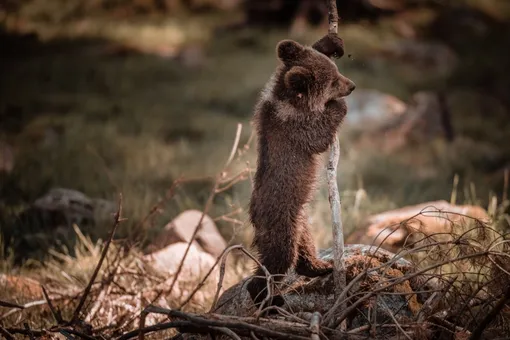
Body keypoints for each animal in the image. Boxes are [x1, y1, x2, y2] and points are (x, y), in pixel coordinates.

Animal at [247, 33, 354, 306]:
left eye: (336, 71)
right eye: (333, 82)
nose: (352, 85)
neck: (292, 100)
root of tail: (254, 217)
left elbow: (298, 48)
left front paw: (332, 41)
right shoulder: (293, 127)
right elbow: (317, 135)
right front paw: (338, 106)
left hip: (301, 221)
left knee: (303, 247)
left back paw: (320, 266)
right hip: (280, 220)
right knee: (279, 258)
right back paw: (268, 299)